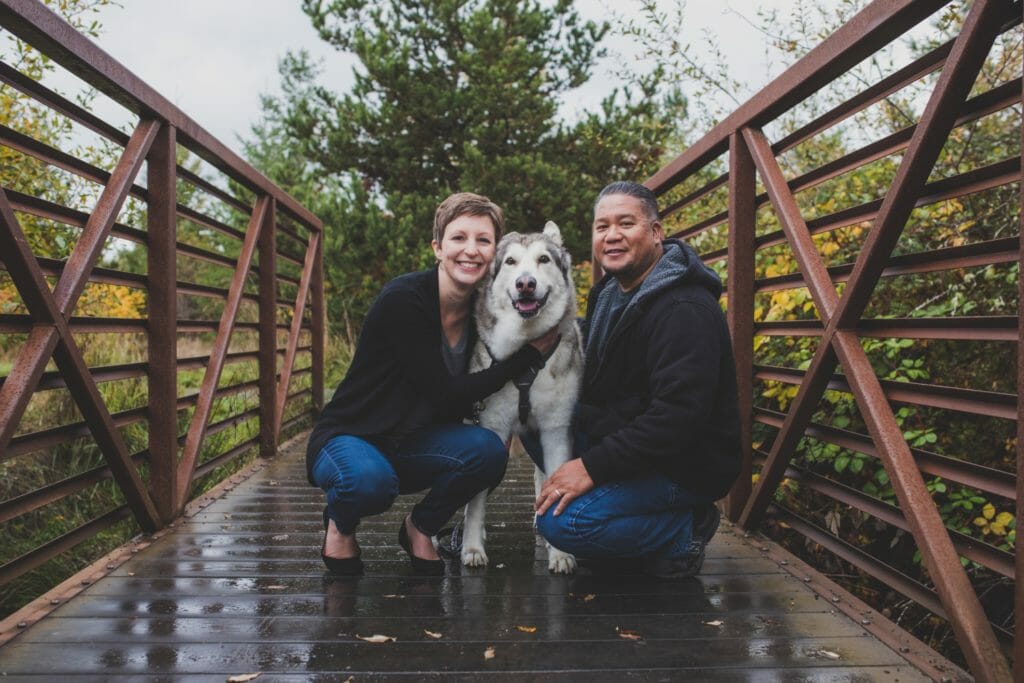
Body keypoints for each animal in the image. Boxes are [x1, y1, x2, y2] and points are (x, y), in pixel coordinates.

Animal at [464, 222, 585, 573]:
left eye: (544, 259)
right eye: (511, 262)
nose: (526, 284)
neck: (526, 353)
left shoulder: (556, 430)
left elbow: (557, 483)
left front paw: (560, 552)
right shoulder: (491, 428)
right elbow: (475, 502)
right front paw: (472, 548)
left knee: (541, 475)